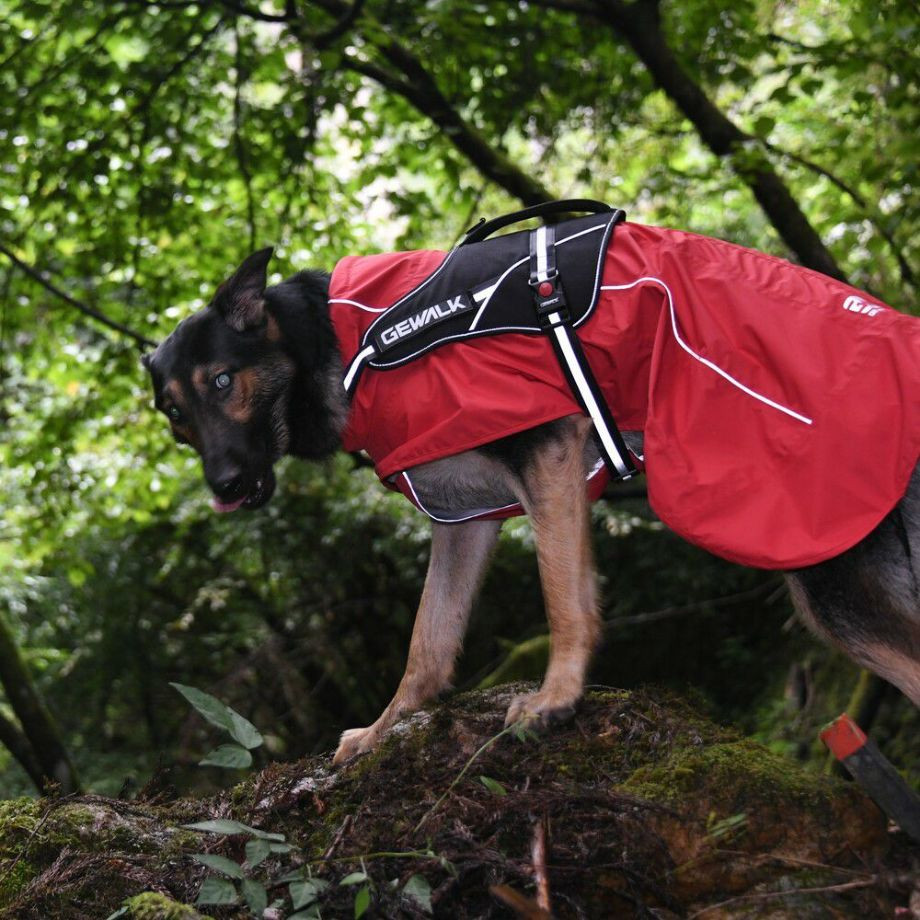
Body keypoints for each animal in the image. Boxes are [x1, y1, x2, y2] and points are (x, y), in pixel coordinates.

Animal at [144, 219, 920, 764]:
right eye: (175, 413)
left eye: (223, 381)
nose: (225, 487)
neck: (342, 344)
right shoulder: (463, 519)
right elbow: (427, 645)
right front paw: (381, 732)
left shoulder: (547, 456)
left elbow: (563, 600)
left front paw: (556, 698)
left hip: (833, 584)